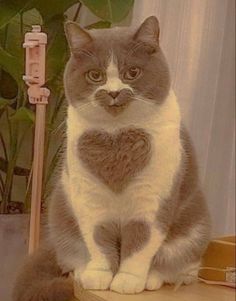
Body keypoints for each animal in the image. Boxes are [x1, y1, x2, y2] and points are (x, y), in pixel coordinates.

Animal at [12, 17, 210, 300]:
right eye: (95, 75)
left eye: (132, 73)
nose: (114, 92)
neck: (116, 137)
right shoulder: (89, 199)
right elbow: (97, 241)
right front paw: (98, 276)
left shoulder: (151, 202)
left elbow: (140, 245)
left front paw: (128, 280)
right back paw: (81, 272)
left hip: (194, 231)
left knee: (181, 268)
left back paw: (153, 278)